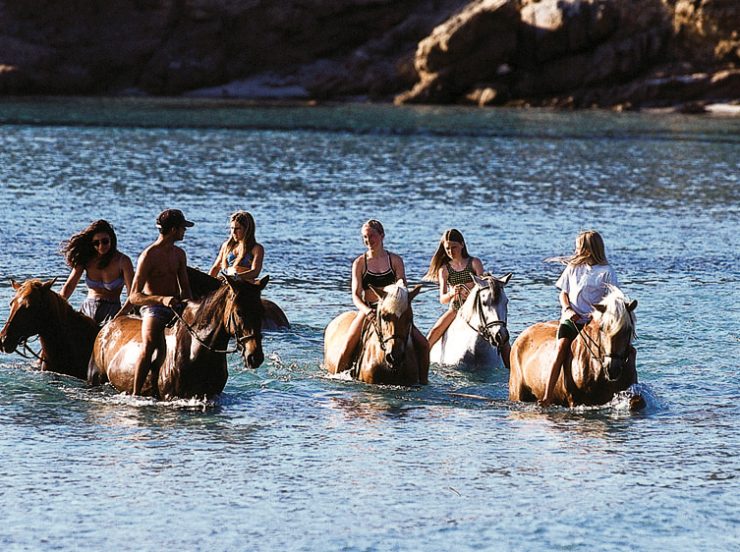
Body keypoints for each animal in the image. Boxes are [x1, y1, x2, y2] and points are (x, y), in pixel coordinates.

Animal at [89, 274, 268, 398]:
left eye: (261, 311)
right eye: (239, 312)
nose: (255, 356)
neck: (197, 349)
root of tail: (108, 326)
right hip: (96, 377)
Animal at [508, 286, 640, 408]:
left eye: (628, 329)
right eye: (602, 328)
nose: (612, 369)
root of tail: (523, 335)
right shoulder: (575, 400)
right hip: (517, 393)